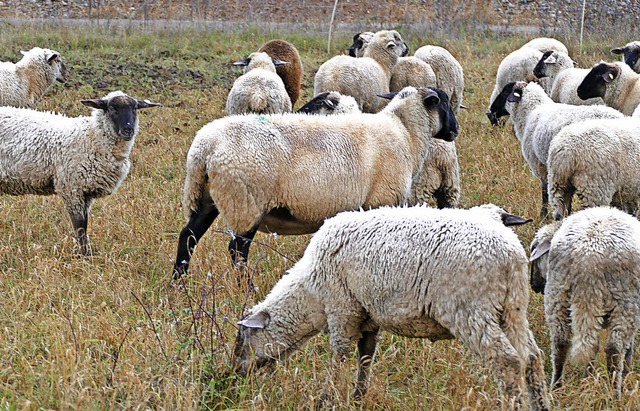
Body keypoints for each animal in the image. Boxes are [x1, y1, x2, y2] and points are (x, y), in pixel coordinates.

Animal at [0, 91, 161, 256]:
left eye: (135, 108)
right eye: (111, 108)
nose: (128, 130)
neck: (92, 136)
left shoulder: (86, 193)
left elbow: (85, 223)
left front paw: (88, 252)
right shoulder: (71, 188)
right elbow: (80, 226)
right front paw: (84, 255)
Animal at [172, 87, 458, 280]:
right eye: (444, 103)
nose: (454, 130)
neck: (404, 133)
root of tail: (204, 148)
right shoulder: (381, 201)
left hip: (207, 198)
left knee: (188, 236)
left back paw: (178, 282)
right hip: (247, 201)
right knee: (237, 249)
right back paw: (244, 286)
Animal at [235, 204, 552, 411]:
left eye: (243, 339)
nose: (235, 377)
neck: (310, 293)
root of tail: (511, 255)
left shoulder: (342, 310)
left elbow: (339, 357)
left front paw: (327, 399)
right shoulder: (368, 316)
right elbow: (365, 358)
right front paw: (358, 398)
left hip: (471, 310)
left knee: (508, 361)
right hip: (512, 308)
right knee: (532, 358)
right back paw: (541, 403)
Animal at [488, 79, 624, 216]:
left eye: (505, 92)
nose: (490, 111)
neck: (531, 112)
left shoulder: (541, 164)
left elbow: (544, 191)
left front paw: (543, 214)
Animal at [528, 206, 640, 400]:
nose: (534, 286)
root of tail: (589, 257)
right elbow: (628, 349)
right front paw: (626, 378)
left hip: (558, 296)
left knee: (561, 344)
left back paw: (557, 388)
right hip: (625, 303)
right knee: (614, 350)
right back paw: (615, 393)